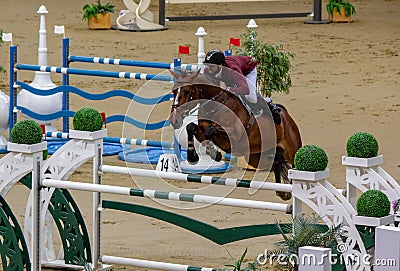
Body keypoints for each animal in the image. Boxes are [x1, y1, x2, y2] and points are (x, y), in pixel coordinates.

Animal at [167, 69, 302, 202]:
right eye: (173, 91)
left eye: (186, 91)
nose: (174, 120)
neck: (215, 105)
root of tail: (287, 117)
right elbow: (191, 127)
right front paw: (194, 156)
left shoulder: (233, 135)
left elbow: (210, 131)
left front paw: (213, 153)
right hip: (258, 155)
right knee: (276, 164)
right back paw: (282, 192)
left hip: (292, 151)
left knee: (294, 165)